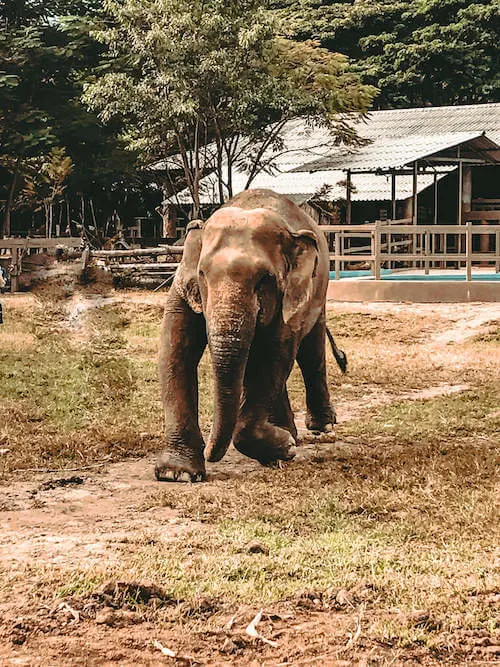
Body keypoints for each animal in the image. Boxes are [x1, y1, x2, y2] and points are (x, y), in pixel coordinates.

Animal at [154, 188, 346, 480]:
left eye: (265, 279)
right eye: (202, 274)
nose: (209, 454)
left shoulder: (290, 295)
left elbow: (274, 356)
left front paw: (285, 448)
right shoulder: (181, 287)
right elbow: (174, 352)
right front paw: (177, 474)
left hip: (318, 291)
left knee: (309, 353)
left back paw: (318, 428)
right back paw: (288, 433)